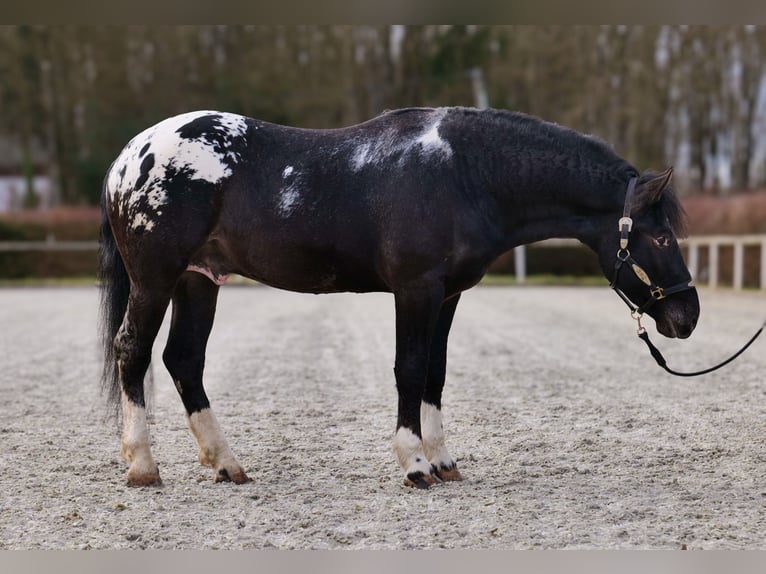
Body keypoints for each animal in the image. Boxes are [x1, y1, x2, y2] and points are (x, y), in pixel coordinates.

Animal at [97, 106, 704, 488]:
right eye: (661, 237)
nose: (687, 315)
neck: (463, 174)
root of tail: (129, 155)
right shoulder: (415, 290)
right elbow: (409, 369)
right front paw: (413, 464)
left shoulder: (448, 295)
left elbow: (434, 371)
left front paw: (443, 462)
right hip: (156, 280)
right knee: (133, 352)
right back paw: (143, 467)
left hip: (199, 280)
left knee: (184, 360)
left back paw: (226, 464)